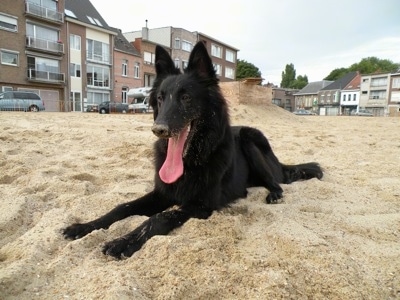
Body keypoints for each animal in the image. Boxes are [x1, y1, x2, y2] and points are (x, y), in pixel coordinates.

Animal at [63, 41, 324, 258]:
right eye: (160, 98)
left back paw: (274, 194)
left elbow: (158, 218)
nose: (158, 129)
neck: (190, 161)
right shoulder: (162, 193)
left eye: (186, 97)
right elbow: (121, 208)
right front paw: (84, 227)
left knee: (279, 182)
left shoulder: (200, 205)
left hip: (251, 139)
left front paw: (123, 242)